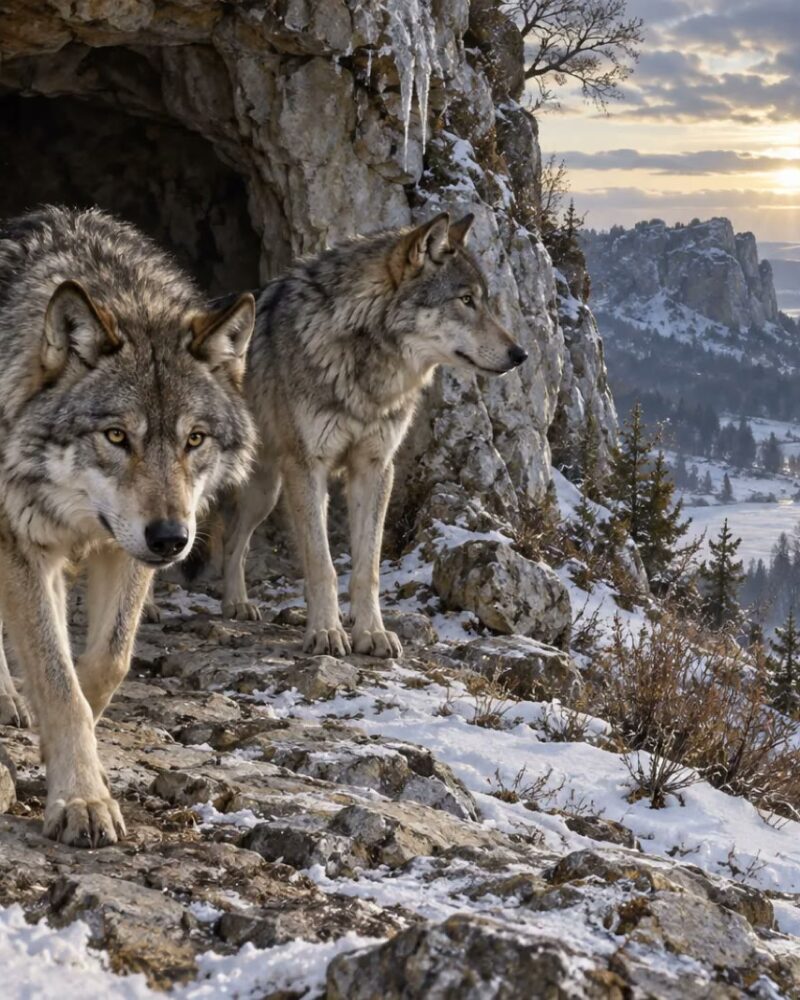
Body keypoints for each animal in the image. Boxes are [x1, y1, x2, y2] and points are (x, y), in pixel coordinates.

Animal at [0, 206, 256, 846]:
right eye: (117, 435)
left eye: (194, 439)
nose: (171, 540)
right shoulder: (21, 543)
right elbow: (57, 680)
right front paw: (82, 800)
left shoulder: (123, 554)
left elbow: (101, 669)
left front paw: (63, 763)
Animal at [219, 212, 527, 658]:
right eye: (466, 300)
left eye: (484, 300)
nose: (520, 354)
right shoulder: (308, 467)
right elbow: (323, 564)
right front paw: (326, 631)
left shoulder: (375, 467)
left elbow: (367, 568)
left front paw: (372, 633)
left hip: (266, 490)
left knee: (233, 540)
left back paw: (237, 603)